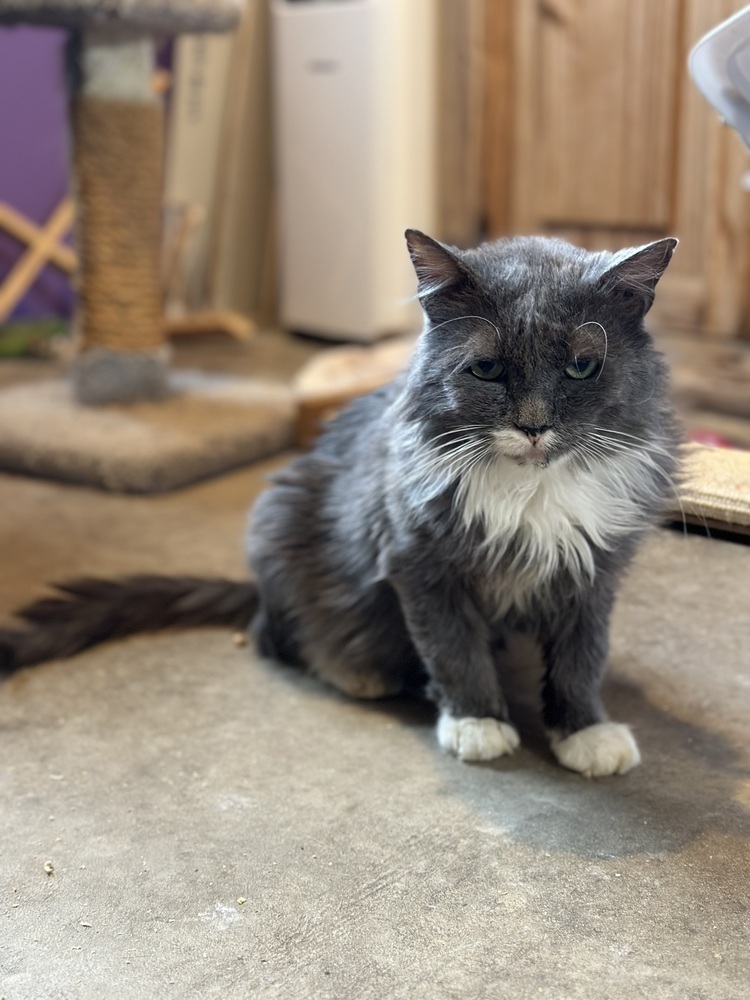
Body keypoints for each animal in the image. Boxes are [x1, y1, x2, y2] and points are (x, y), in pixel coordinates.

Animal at [0, 230, 680, 776]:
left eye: (583, 367)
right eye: (487, 369)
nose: (535, 427)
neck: (529, 490)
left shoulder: (594, 570)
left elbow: (581, 658)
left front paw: (585, 732)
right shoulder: (419, 565)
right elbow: (453, 650)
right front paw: (477, 722)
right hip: (277, 529)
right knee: (274, 639)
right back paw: (364, 672)